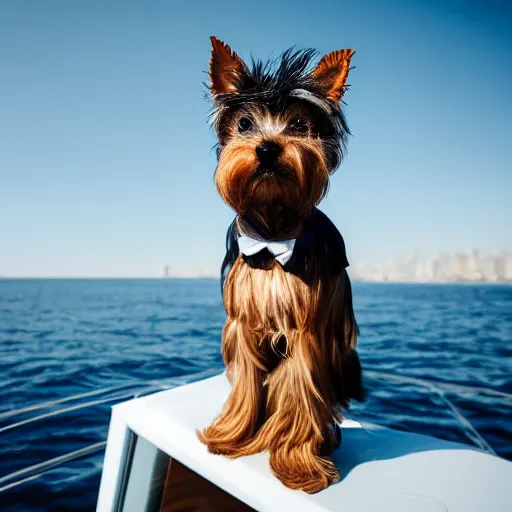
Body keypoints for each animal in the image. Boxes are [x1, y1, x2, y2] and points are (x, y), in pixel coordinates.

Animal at [197, 38, 364, 494]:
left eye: (299, 124)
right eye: (245, 124)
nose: (268, 147)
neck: (273, 233)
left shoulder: (307, 329)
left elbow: (301, 392)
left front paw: (298, 465)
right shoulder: (243, 322)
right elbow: (246, 385)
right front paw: (230, 438)